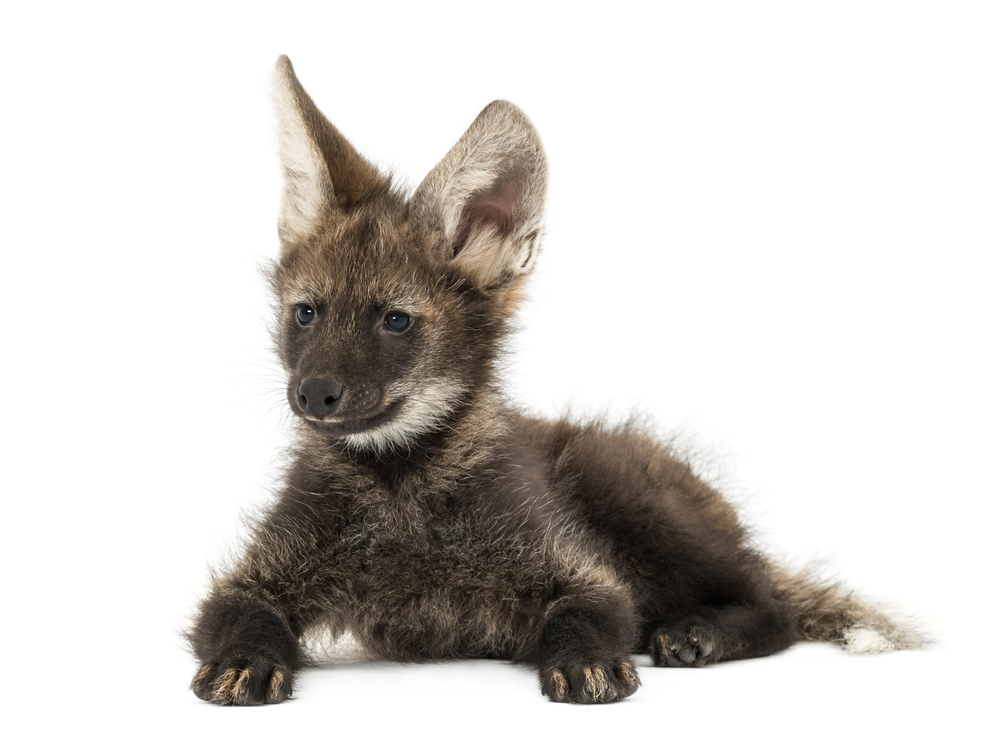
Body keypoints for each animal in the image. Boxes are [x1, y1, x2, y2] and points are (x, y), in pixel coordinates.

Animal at [189, 55, 925, 706]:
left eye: (395, 321)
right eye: (306, 313)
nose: (313, 393)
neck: (401, 486)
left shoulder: (585, 571)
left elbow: (589, 614)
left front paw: (587, 663)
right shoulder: (247, 580)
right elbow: (241, 617)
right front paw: (243, 663)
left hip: (626, 491)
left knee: (774, 605)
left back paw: (696, 632)